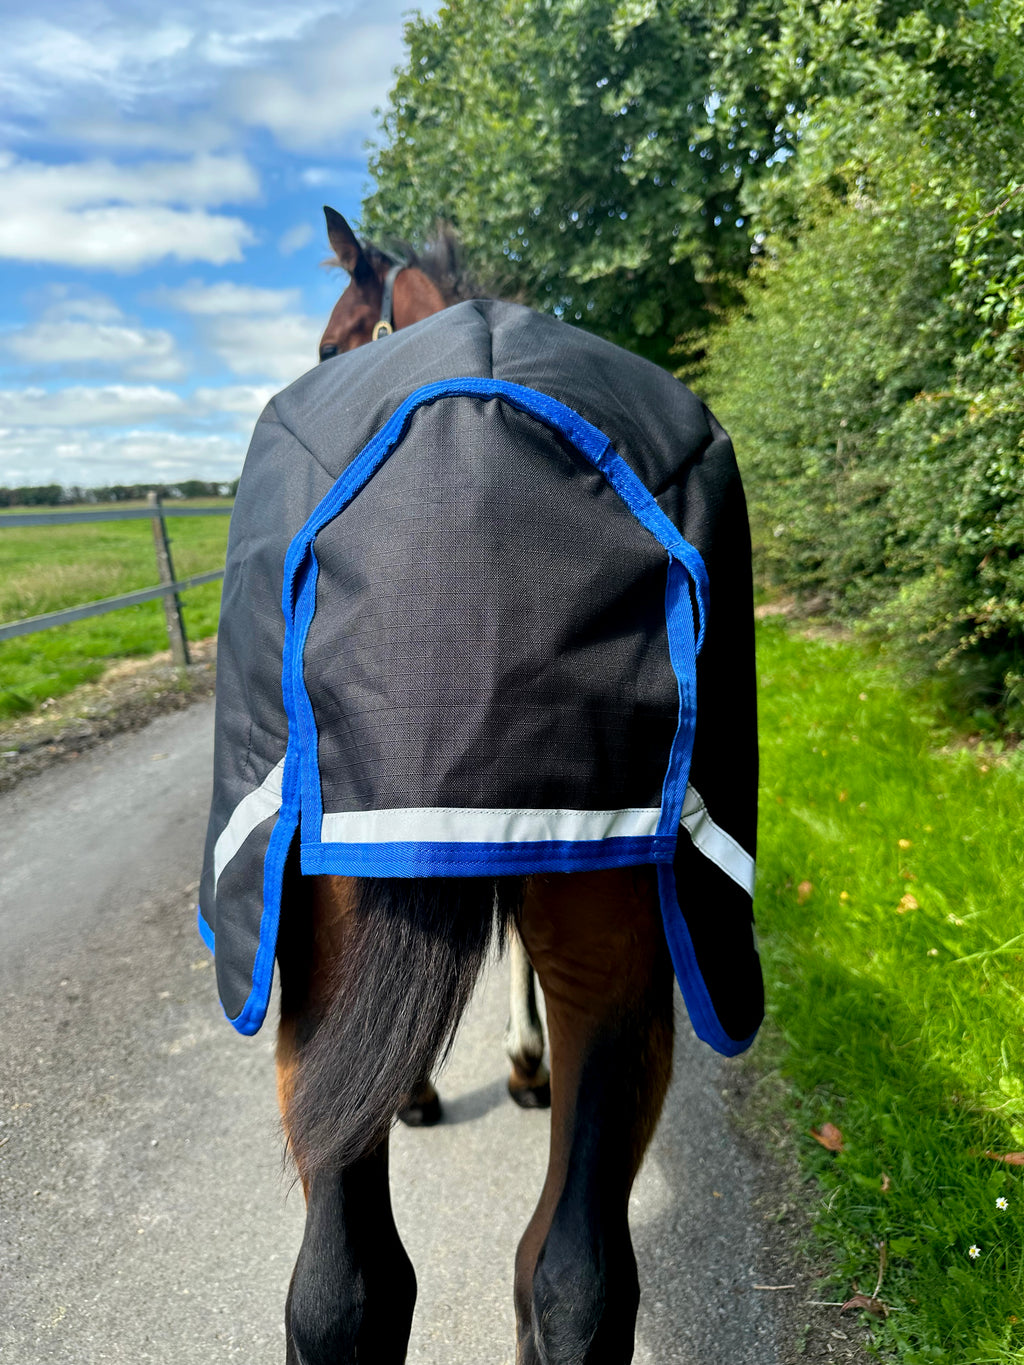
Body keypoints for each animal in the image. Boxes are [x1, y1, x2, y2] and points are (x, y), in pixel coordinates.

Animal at [199, 206, 763, 1364]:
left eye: (330, 340)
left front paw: (471, 1075)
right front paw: (517, 1061)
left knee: (367, 1286)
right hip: (614, 963)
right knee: (567, 1281)